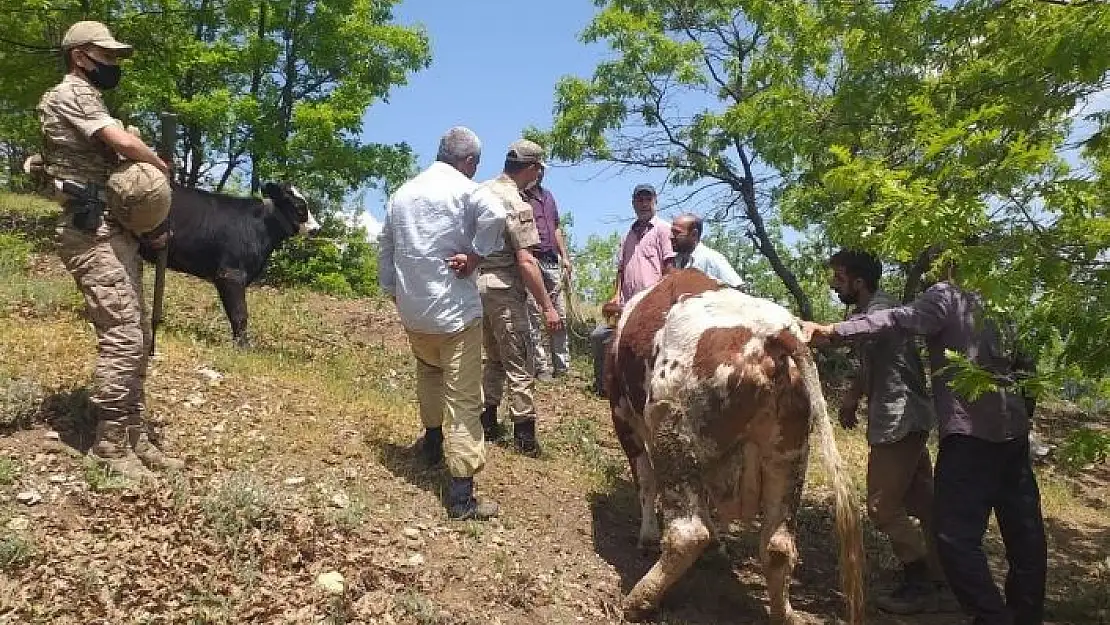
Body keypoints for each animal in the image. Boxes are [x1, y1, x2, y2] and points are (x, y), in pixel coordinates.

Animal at [608, 271, 865, 625]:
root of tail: (775, 332)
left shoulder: (621, 414)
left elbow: (645, 480)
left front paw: (646, 537)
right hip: (788, 458)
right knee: (778, 545)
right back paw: (784, 614)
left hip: (673, 435)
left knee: (688, 533)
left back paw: (637, 601)